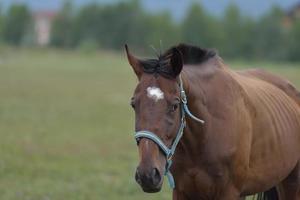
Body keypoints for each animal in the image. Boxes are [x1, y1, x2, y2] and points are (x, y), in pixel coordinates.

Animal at [125, 43, 300, 200]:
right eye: (134, 104)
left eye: (174, 105)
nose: (147, 175)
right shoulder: (182, 192)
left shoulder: (228, 193)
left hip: (291, 182)